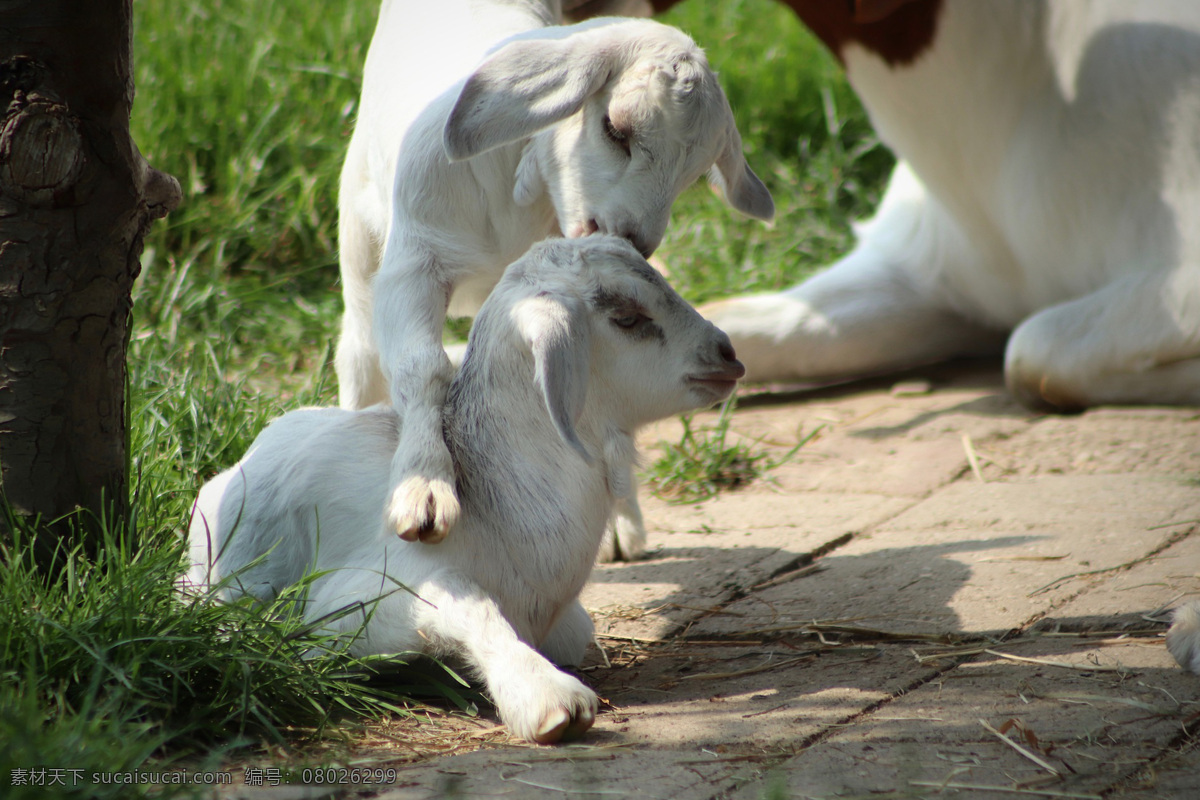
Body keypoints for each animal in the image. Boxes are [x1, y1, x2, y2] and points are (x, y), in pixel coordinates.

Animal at [187, 236, 746, 743]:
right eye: (628, 317)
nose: (728, 354)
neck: (498, 511)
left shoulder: (564, 623)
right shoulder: (352, 598)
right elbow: (470, 606)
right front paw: (547, 698)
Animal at [334, 0, 774, 559]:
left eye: (695, 173)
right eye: (615, 128)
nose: (632, 238)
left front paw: (617, 520)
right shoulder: (414, 261)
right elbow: (424, 368)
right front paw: (424, 491)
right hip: (359, 238)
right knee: (360, 353)